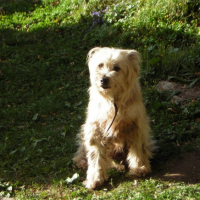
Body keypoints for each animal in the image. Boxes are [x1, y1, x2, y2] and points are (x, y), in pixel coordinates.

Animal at [72, 47, 155, 189]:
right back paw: (83, 161)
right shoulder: (96, 128)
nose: (103, 79)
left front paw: (139, 167)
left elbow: (137, 149)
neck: (113, 99)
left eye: (117, 68)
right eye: (100, 65)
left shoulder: (135, 126)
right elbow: (95, 156)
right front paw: (94, 178)